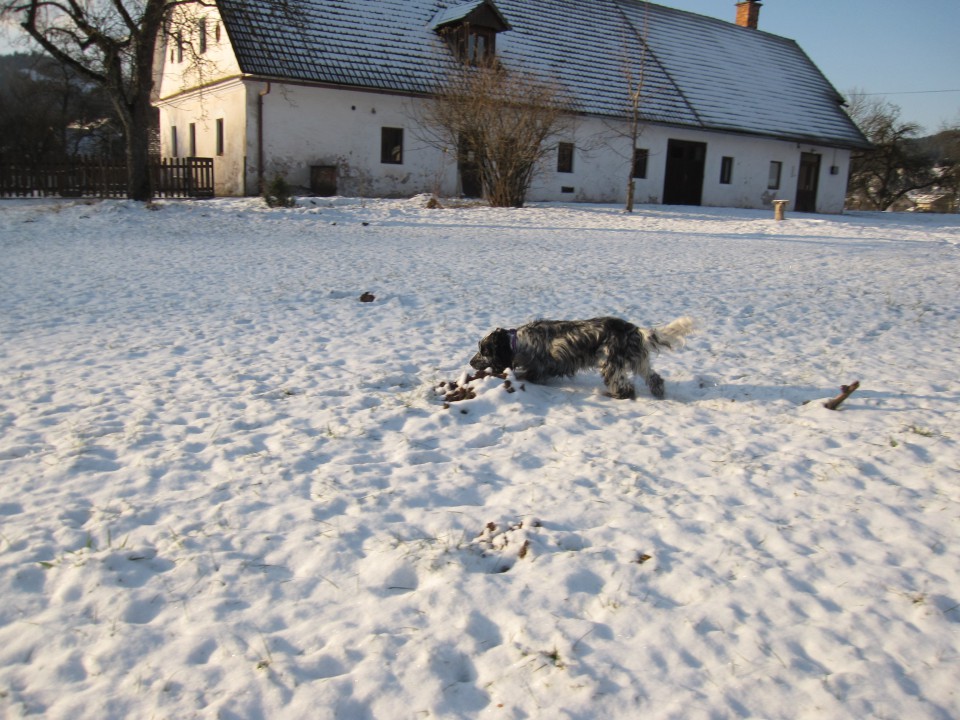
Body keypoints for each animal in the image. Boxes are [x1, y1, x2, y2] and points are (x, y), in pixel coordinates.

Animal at [468, 316, 692, 400]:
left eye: (484, 351)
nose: (470, 361)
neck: (518, 342)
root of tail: (634, 330)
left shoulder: (539, 368)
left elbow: (528, 375)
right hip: (638, 360)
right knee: (654, 378)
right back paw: (658, 392)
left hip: (610, 362)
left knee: (625, 387)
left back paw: (611, 394)